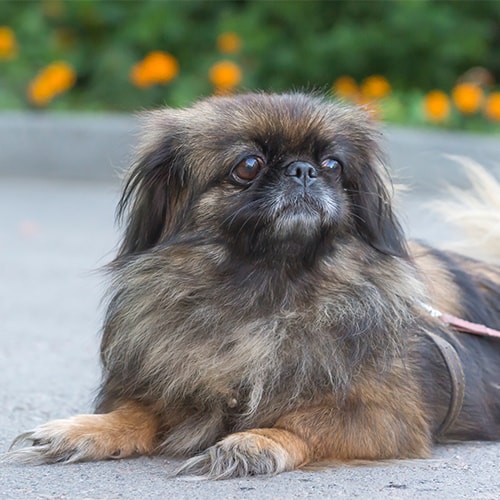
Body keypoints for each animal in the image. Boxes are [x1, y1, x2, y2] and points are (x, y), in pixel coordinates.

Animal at [8, 92, 500, 478]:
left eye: (332, 165)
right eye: (248, 165)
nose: (303, 170)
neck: (267, 292)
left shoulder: (388, 417)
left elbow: (307, 423)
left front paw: (254, 443)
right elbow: (133, 412)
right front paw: (82, 430)